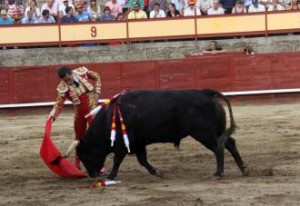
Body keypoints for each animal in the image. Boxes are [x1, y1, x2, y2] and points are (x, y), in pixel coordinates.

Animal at [66, 89, 248, 179]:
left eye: (84, 155)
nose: (92, 175)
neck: (108, 118)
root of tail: (206, 93)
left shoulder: (123, 143)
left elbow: (118, 159)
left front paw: (111, 176)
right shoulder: (138, 143)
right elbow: (142, 160)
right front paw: (157, 172)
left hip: (203, 133)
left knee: (218, 148)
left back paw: (218, 173)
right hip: (216, 130)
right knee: (230, 143)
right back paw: (244, 169)